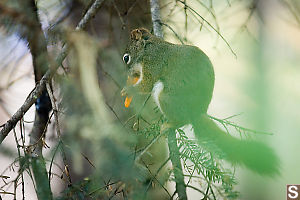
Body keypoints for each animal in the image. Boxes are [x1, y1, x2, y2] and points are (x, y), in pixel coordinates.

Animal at [120, 27, 280, 175]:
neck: (148, 46)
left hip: (165, 97)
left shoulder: (153, 62)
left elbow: (147, 84)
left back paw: (169, 125)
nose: (128, 75)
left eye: (126, 58)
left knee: (182, 119)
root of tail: (197, 113)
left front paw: (128, 90)